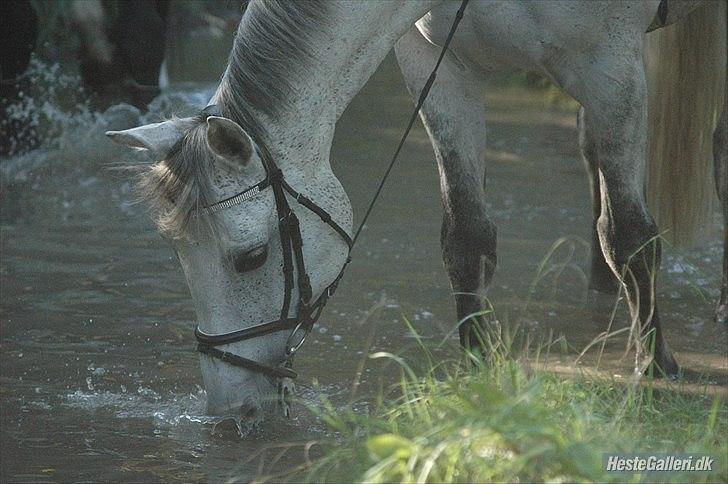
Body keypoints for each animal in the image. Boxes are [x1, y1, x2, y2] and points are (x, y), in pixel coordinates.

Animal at [105, 0, 724, 420]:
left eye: (251, 257)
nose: (233, 407)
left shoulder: (609, 67)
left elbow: (629, 234)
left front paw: (655, 372)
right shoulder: (443, 67)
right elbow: (466, 237)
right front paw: (476, 373)